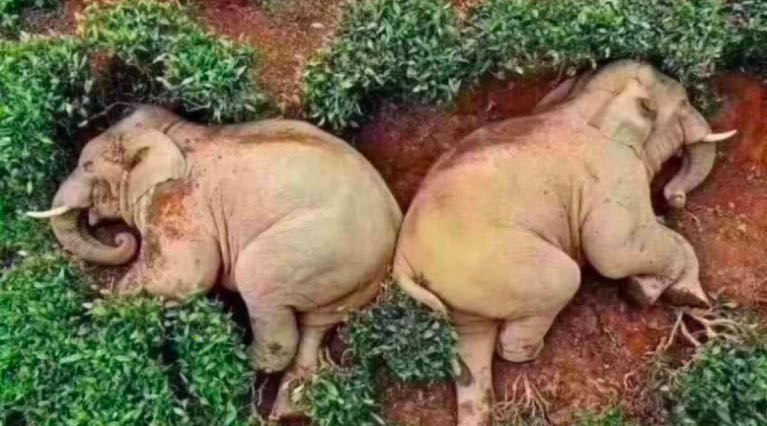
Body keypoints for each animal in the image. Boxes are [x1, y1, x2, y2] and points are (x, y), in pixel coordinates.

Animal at [27, 105, 402, 420]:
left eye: (87, 166)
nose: (122, 239)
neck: (172, 131)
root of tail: (393, 228)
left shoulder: (178, 202)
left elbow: (186, 275)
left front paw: (97, 310)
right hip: (348, 278)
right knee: (316, 326)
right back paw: (287, 409)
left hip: (316, 248)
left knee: (260, 285)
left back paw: (235, 363)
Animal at [392, 61, 737, 426]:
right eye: (683, 104)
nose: (674, 199)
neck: (584, 100)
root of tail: (402, 259)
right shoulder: (614, 171)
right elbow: (613, 251)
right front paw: (651, 293)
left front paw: (672, 292)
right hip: (491, 262)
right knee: (563, 279)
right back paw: (532, 351)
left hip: (461, 287)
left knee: (473, 342)